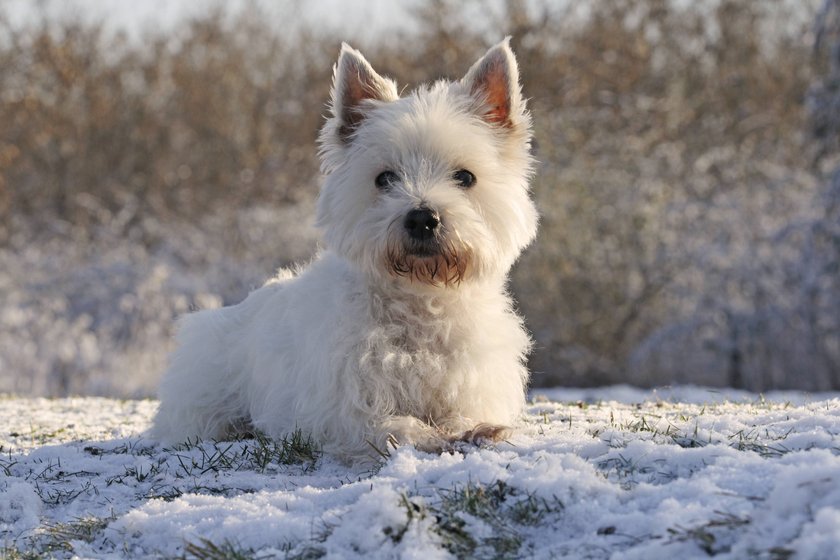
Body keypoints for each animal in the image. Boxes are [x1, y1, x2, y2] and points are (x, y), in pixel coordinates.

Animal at [153, 38, 540, 460]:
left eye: (465, 177)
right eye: (384, 178)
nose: (422, 218)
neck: (421, 302)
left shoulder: (472, 382)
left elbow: (463, 414)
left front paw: (477, 429)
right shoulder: (339, 406)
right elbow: (388, 424)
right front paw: (426, 435)